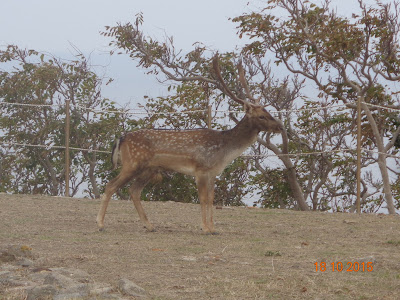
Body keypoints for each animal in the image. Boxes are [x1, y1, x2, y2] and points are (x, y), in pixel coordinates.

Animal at [97, 55, 282, 234]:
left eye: (268, 111)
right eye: (261, 116)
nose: (280, 126)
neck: (224, 152)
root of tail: (121, 138)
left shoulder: (213, 172)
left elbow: (212, 198)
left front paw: (213, 228)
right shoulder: (200, 169)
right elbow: (203, 198)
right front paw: (205, 228)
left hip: (148, 168)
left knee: (134, 191)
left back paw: (150, 226)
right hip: (132, 163)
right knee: (111, 186)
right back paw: (101, 224)